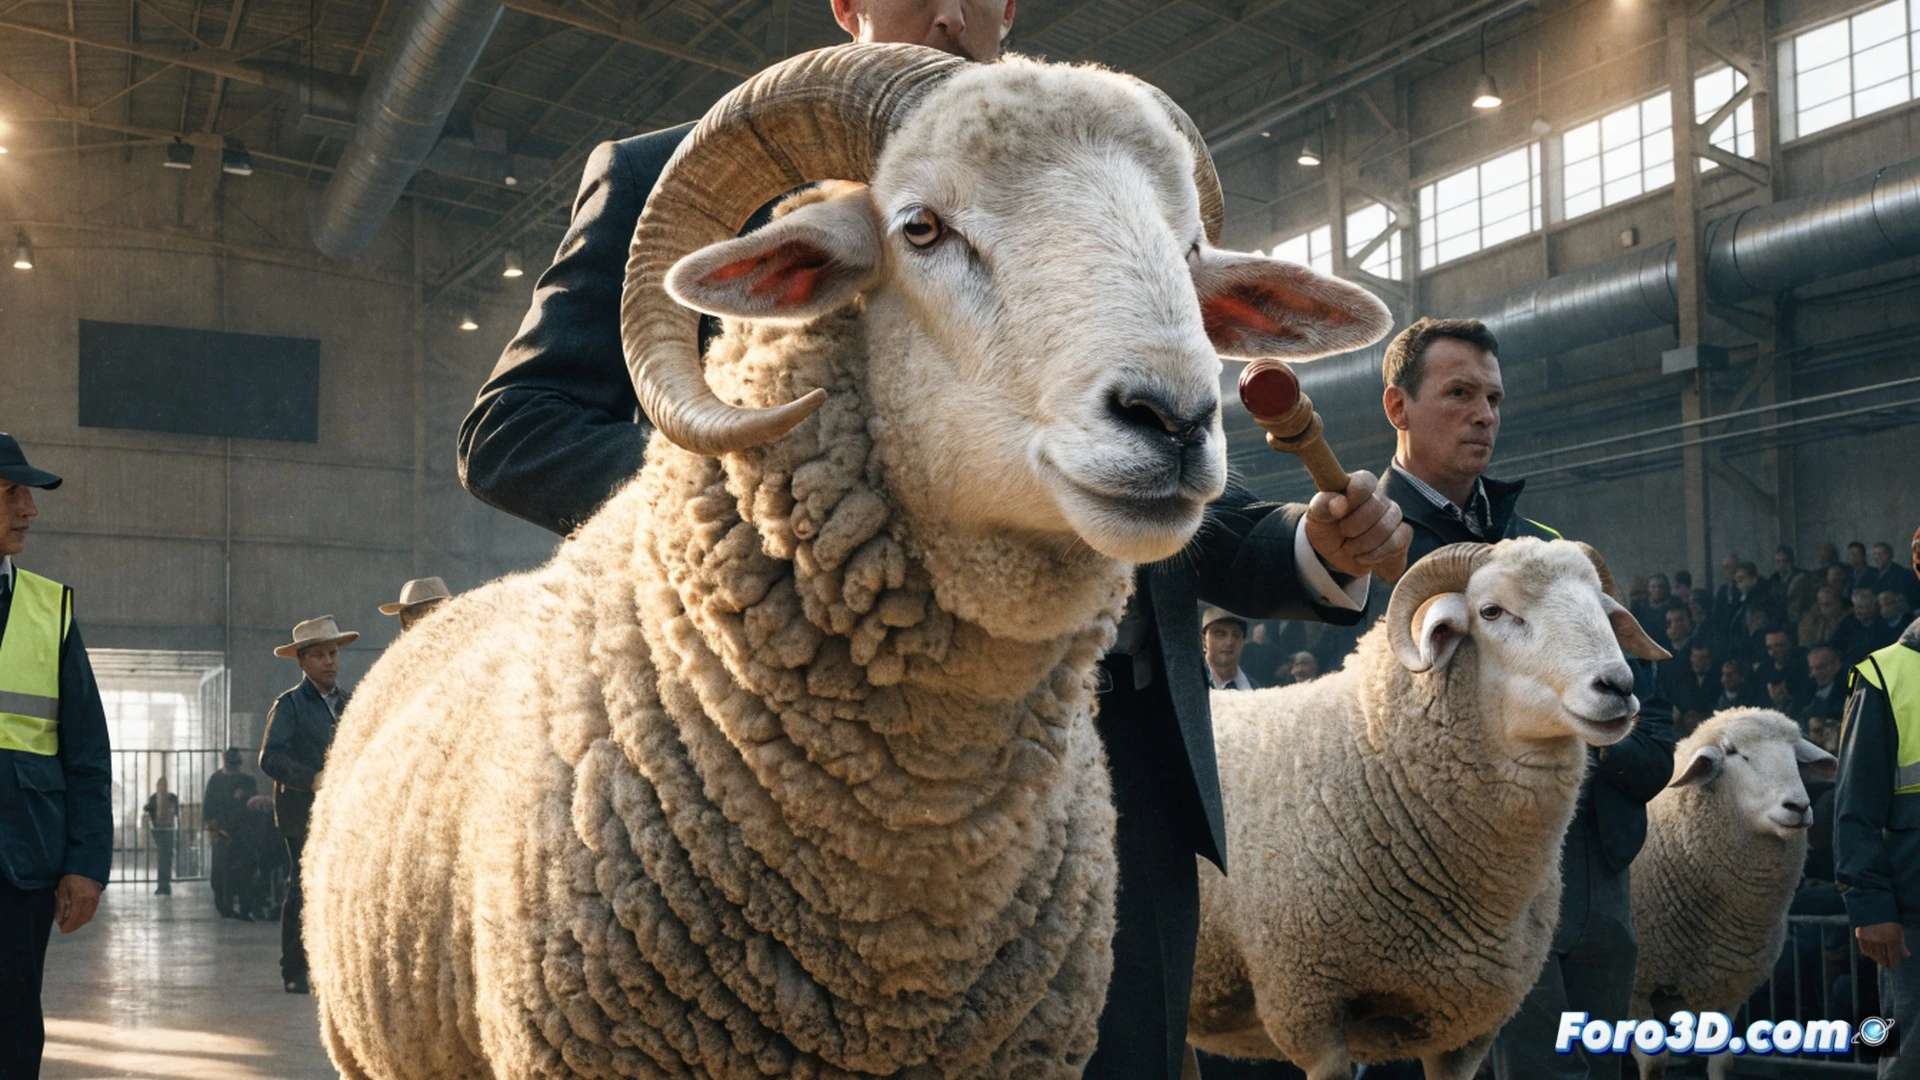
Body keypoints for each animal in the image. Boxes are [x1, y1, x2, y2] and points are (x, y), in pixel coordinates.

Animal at [1628, 708, 1836, 1080]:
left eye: (1794, 754)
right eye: (1734, 753)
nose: (1798, 807)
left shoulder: (1730, 987)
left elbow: (1723, 1061)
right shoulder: (1637, 986)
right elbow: (1654, 1062)